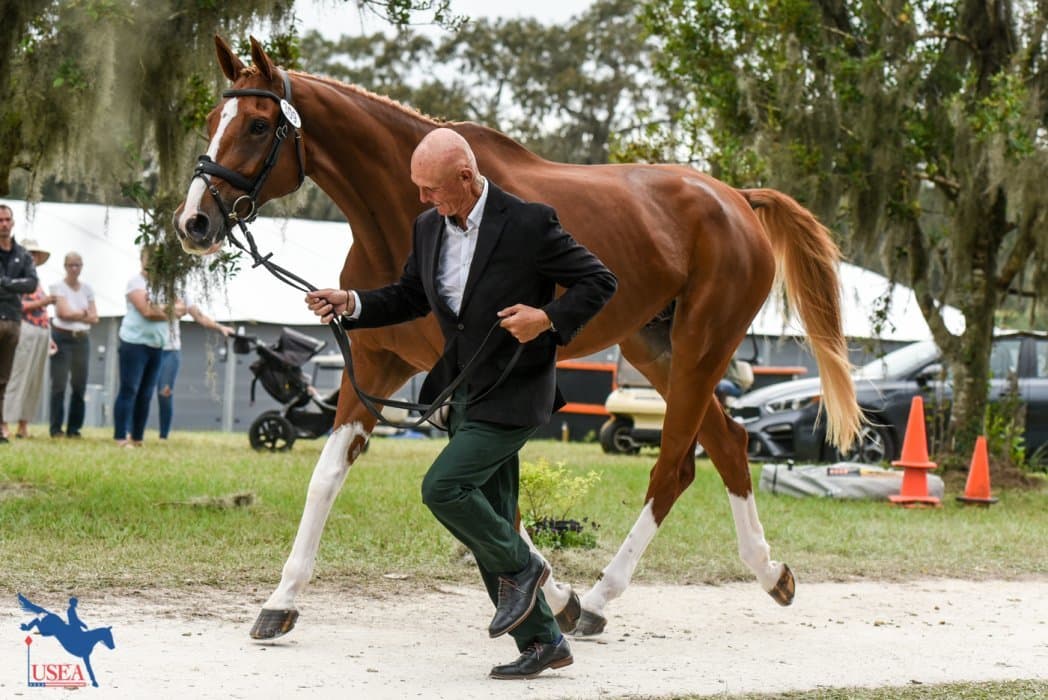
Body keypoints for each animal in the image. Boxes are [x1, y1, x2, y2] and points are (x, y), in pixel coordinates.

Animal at [174, 36, 860, 640]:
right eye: (211, 119)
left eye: (258, 125)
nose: (194, 222)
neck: (402, 214)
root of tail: (737, 200)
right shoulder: (373, 368)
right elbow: (326, 477)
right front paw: (280, 602)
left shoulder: (465, 381)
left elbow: (495, 500)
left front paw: (554, 594)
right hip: (656, 351)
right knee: (728, 445)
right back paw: (771, 574)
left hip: (701, 347)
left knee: (672, 467)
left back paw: (601, 600)